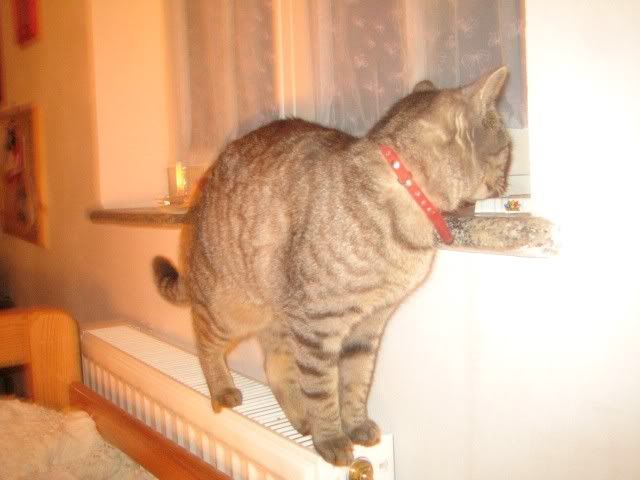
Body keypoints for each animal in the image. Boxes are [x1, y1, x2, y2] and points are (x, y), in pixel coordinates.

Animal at [153, 66, 512, 466]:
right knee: (204, 339)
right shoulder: (318, 325)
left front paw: (355, 426)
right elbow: (323, 390)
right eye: (507, 146)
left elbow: (355, 384)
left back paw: (299, 419)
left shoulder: (367, 327)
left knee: (275, 366)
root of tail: (197, 198)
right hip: (231, 310)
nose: (508, 179)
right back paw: (222, 390)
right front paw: (332, 440)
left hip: (280, 320)